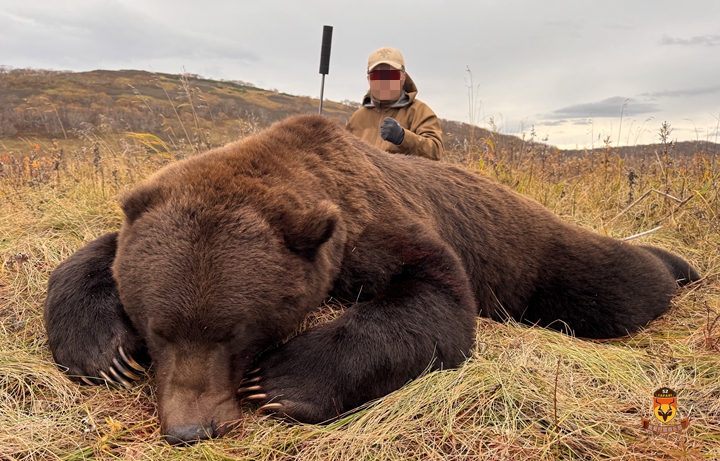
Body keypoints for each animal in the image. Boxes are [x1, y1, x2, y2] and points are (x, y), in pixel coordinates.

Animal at [44, 114, 700, 445]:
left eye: (235, 334)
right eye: (157, 330)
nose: (188, 428)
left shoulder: (373, 224)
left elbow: (435, 298)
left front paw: (280, 380)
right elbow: (92, 255)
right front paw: (105, 352)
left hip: (540, 256)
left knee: (615, 284)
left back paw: (677, 265)